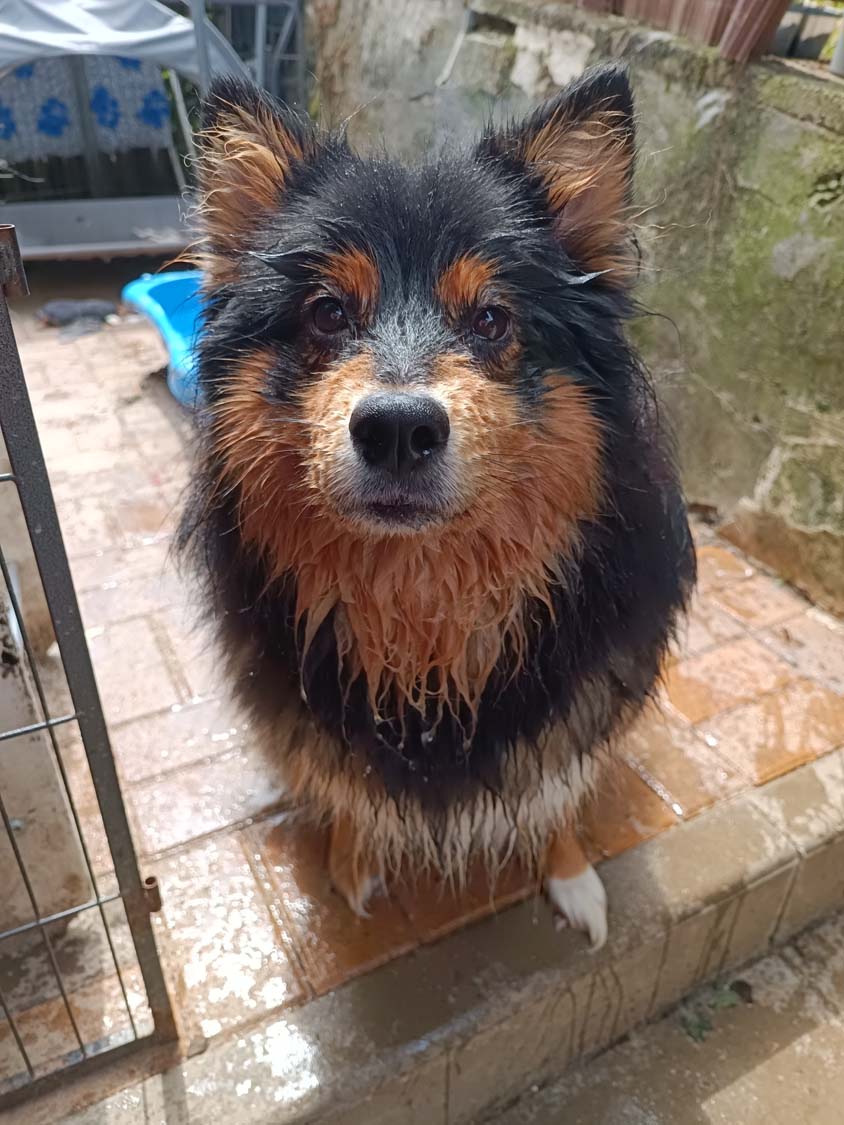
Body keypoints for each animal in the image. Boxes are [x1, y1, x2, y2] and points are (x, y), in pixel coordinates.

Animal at [180, 63, 695, 950]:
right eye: (327, 311)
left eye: (491, 318)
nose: (396, 430)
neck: (423, 601)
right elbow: (347, 789)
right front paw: (353, 864)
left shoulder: (578, 703)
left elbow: (556, 789)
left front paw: (571, 876)